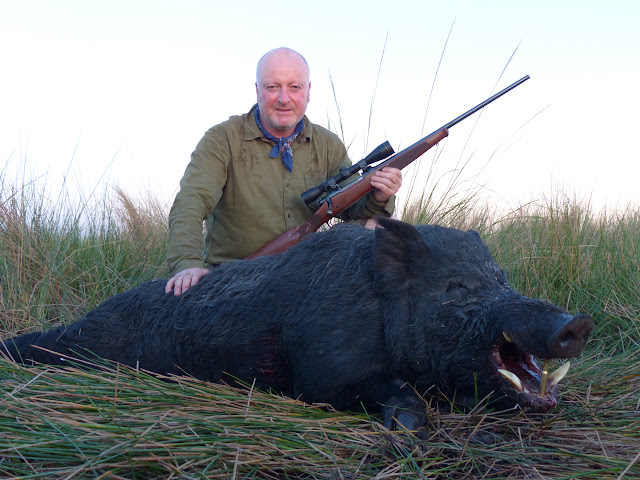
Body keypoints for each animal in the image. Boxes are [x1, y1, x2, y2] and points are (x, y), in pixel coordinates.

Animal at [1, 218, 594, 430]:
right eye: (456, 289)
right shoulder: (323, 374)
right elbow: (393, 395)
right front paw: (407, 429)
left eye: (501, 279)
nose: (577, 323)